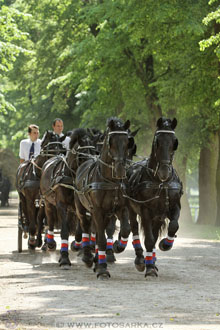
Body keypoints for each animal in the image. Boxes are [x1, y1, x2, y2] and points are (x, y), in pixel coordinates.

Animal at [74, 116, 133, 278]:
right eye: (111, 141)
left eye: (127, 142)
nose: (120, 169)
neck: (110, 181)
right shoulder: (97, 210)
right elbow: (100, 239)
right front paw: (102, 269)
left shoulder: (120, 208)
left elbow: (126, 229)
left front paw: (118, 246)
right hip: (82, 208)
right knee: (86, 227)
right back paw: (88, 257)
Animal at [120, 117, 182, 278]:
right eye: (157, 142)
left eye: (175, 142)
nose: (164, 172)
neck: (161, 182)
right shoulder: (145, 209)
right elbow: (148, 239)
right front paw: (149, 269)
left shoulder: (173, 206)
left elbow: (173, 225)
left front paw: (165, 244)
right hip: (132, 209)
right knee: (134, 228)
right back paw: (141, 260)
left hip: (158, 216)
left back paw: (152, 259)